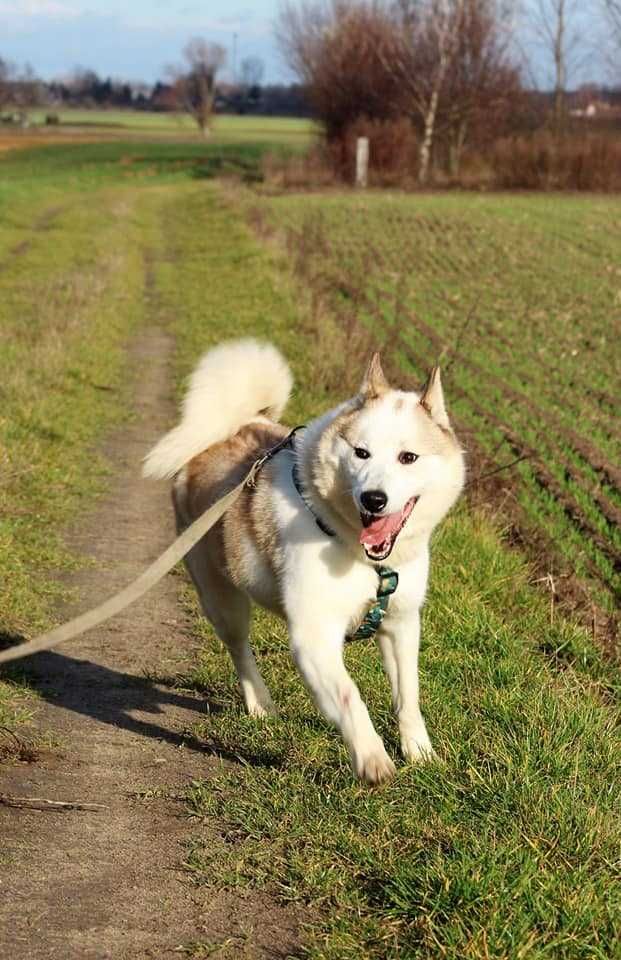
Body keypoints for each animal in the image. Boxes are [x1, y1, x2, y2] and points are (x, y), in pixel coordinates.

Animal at [145, 342, 462, 784]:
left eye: (408, 457)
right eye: (361, 453)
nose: (374, 499)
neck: (357, 552)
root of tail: (225, 430)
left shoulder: (401, 624)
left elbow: (409, 695)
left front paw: (420, 754)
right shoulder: (314, 636)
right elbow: (349, 695)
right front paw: (372, 758)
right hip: (221, 598)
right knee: (239, 648)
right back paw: (260, 704)